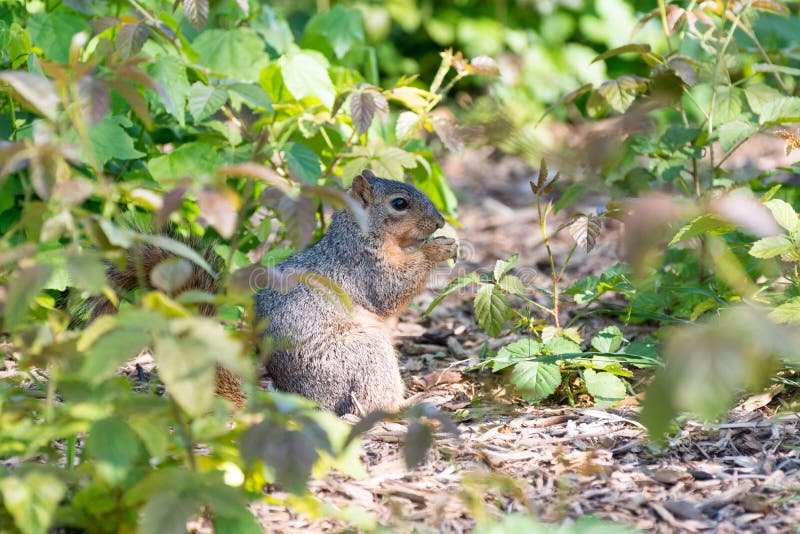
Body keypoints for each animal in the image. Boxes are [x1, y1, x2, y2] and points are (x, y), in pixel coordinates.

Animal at [88, 169, 456, 415]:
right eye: (400, 203)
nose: (440, 221)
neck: (359, 231)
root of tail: (311, 404)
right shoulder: (364, 266)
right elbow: (391, 290)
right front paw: (436, 250)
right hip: (366, 354)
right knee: (371, 405)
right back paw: (415, 401)